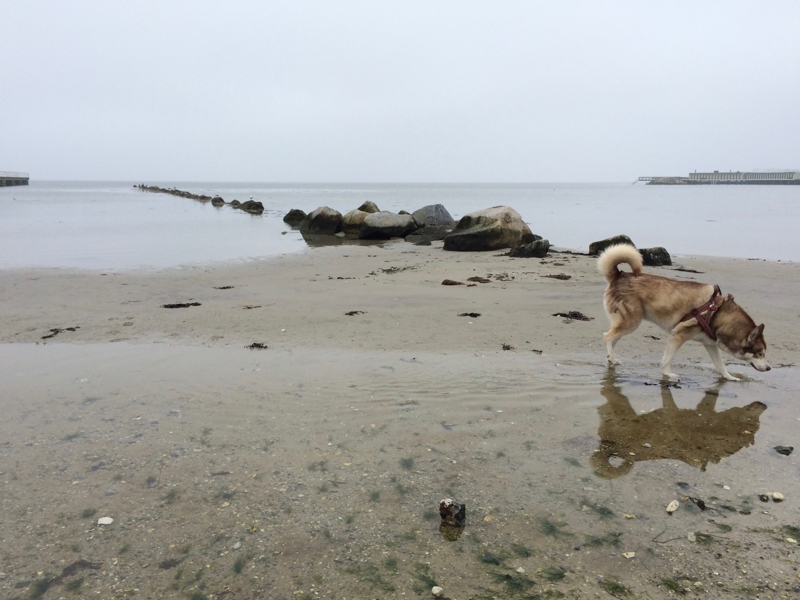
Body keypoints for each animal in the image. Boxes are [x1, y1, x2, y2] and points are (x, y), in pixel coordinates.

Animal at [600, 243, 768, 380]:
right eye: (760, 353)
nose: (769, 368)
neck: (718, 314)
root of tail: (620, 275)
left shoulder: (710, 345)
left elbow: (720, 365)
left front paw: (729, 377)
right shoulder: (678, 336)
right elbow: (667, 359)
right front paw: (668, 374)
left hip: (627, 324)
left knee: (612, 338)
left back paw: (611, 358)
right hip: (631, 323)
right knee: (607, 336)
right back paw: (611, 356)